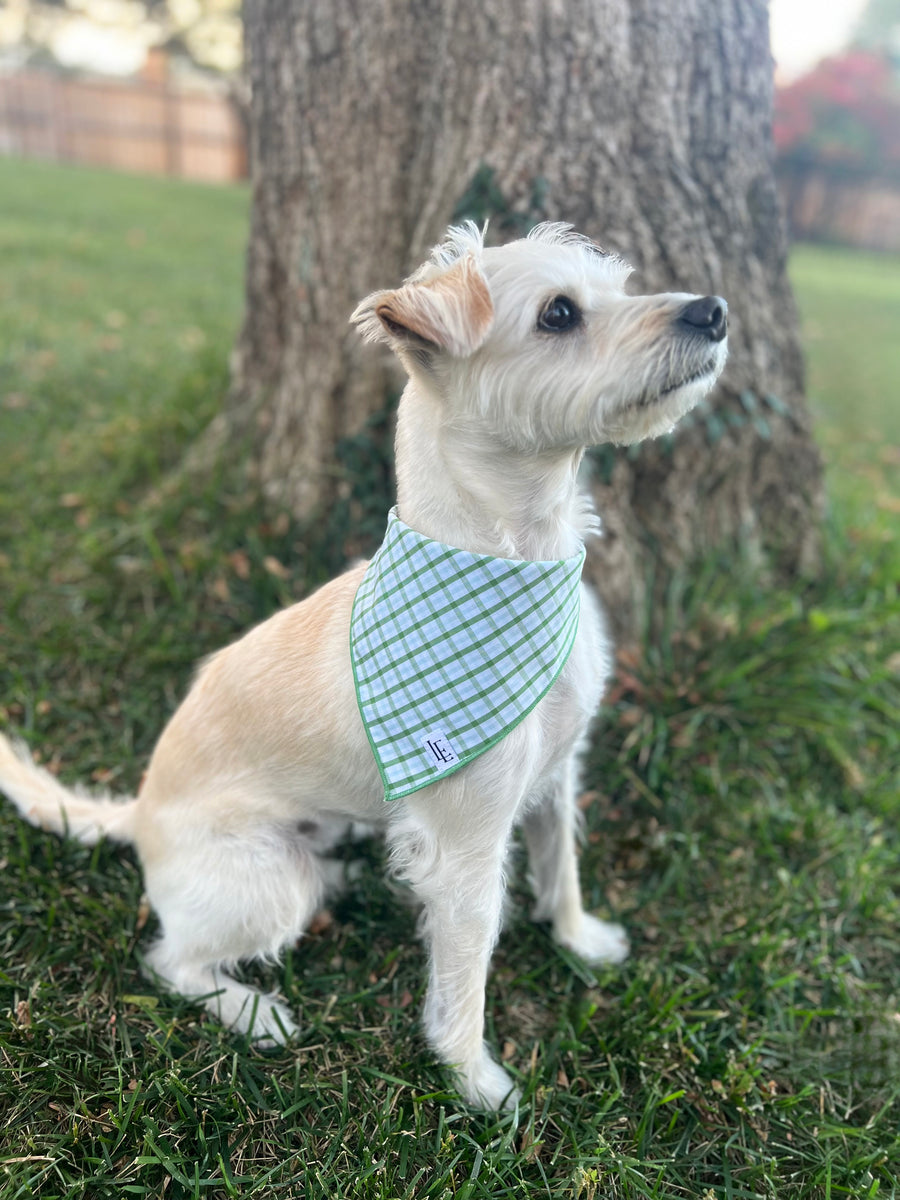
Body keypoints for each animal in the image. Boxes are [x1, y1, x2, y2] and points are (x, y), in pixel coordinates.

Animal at [0, 220, 724, 1108]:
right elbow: (465, 975)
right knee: (170, 961)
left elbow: (564, 868)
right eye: (558, 313)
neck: (517, 553)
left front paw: (580, 940)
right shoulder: (466, 850)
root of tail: (137, 813)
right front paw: (473, 1082)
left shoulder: (557, 773)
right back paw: (254, 1012)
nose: (715, 310)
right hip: (268, 883)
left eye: (621, 286)